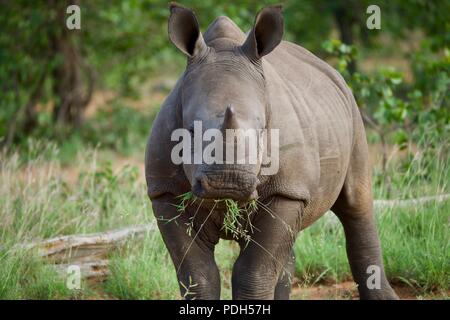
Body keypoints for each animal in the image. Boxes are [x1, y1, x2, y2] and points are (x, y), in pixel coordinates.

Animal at [145, 3, 398, 300]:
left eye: (262, 131)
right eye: (190, 132)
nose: (227, 182)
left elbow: (254, 270)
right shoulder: (165, 191)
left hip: (352, 111)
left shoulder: (287, 190)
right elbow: (197, 274)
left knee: (356, 205)